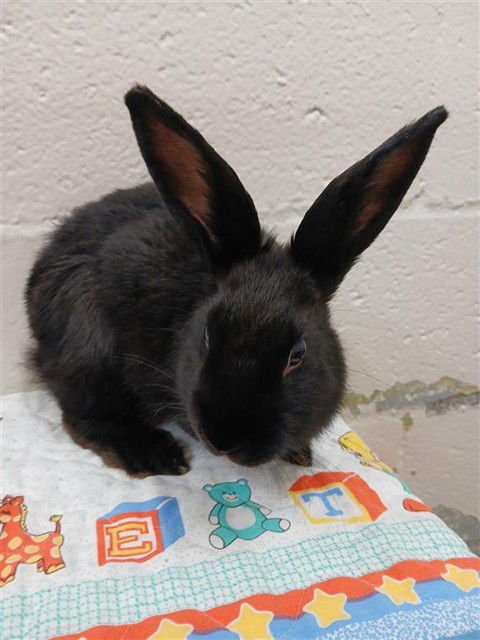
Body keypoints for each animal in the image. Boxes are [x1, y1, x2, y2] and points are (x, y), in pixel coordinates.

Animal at [25, 86, 447, 476]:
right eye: (208, 336)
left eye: (298, 354)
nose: (225, 438)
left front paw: (298, 453)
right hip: (86, 343)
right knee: (83, 412)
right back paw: (154, 455)